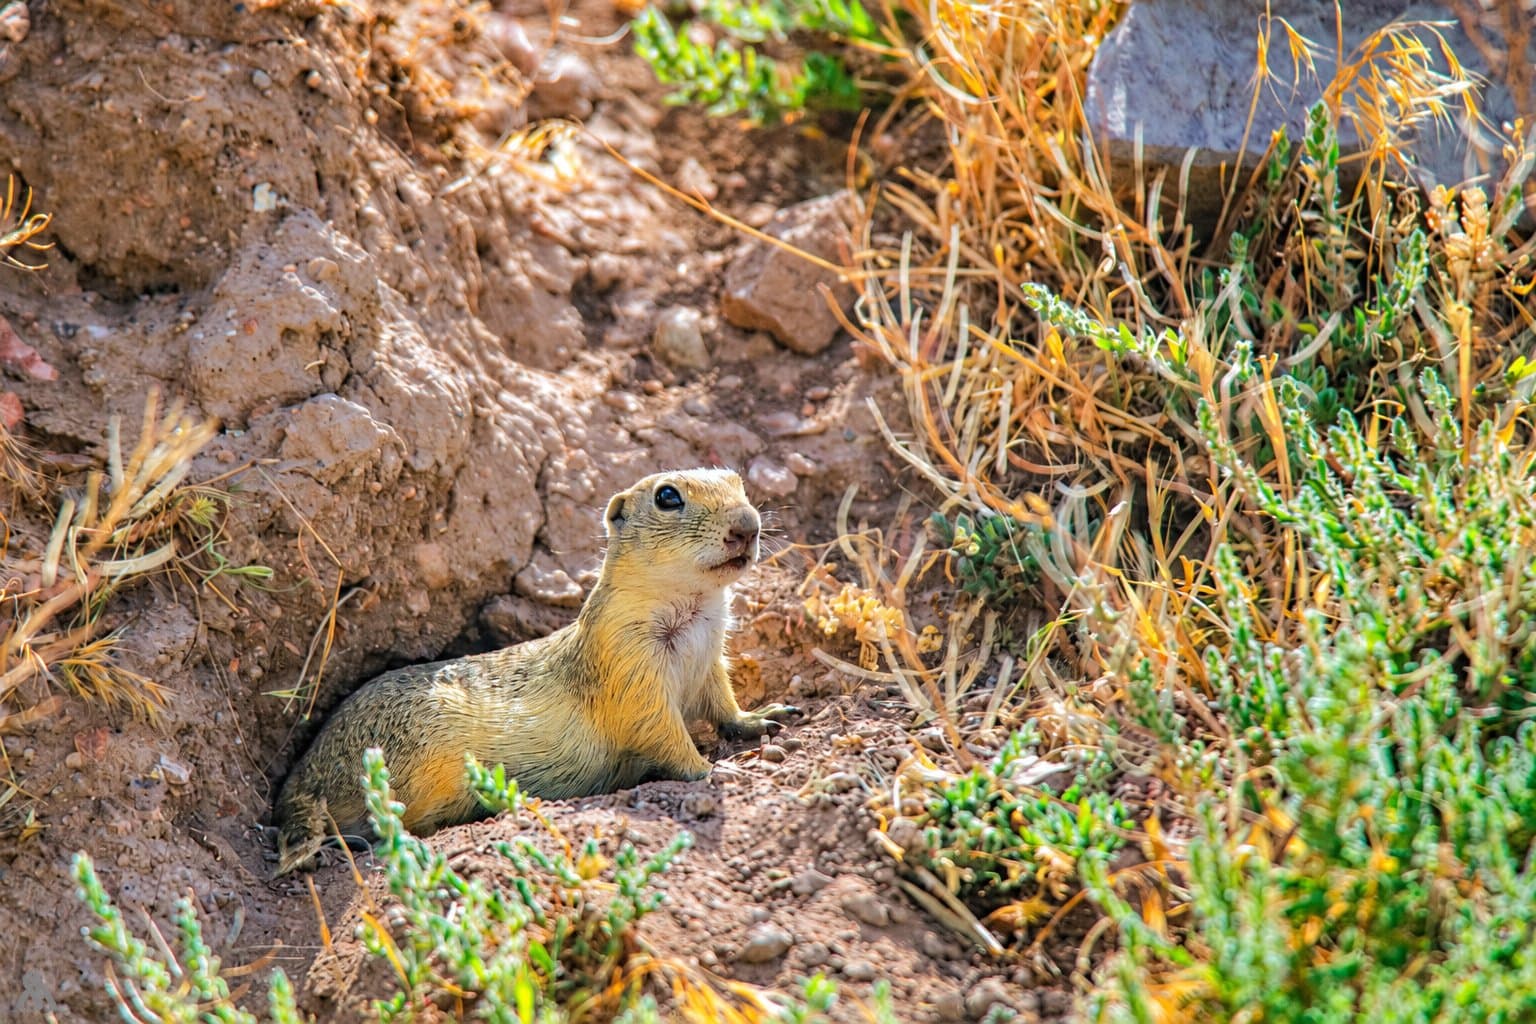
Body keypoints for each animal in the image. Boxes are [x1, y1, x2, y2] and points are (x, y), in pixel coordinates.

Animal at [273, 468, 797, 875]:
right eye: (668, 496)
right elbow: (664, 733)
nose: (749, 525)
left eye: (737, 480)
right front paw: (712, 769)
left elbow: (724, 705)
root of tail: (302, 777)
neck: (692, 608)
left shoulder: (710, 661)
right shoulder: (631, 669)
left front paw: (764, 717)